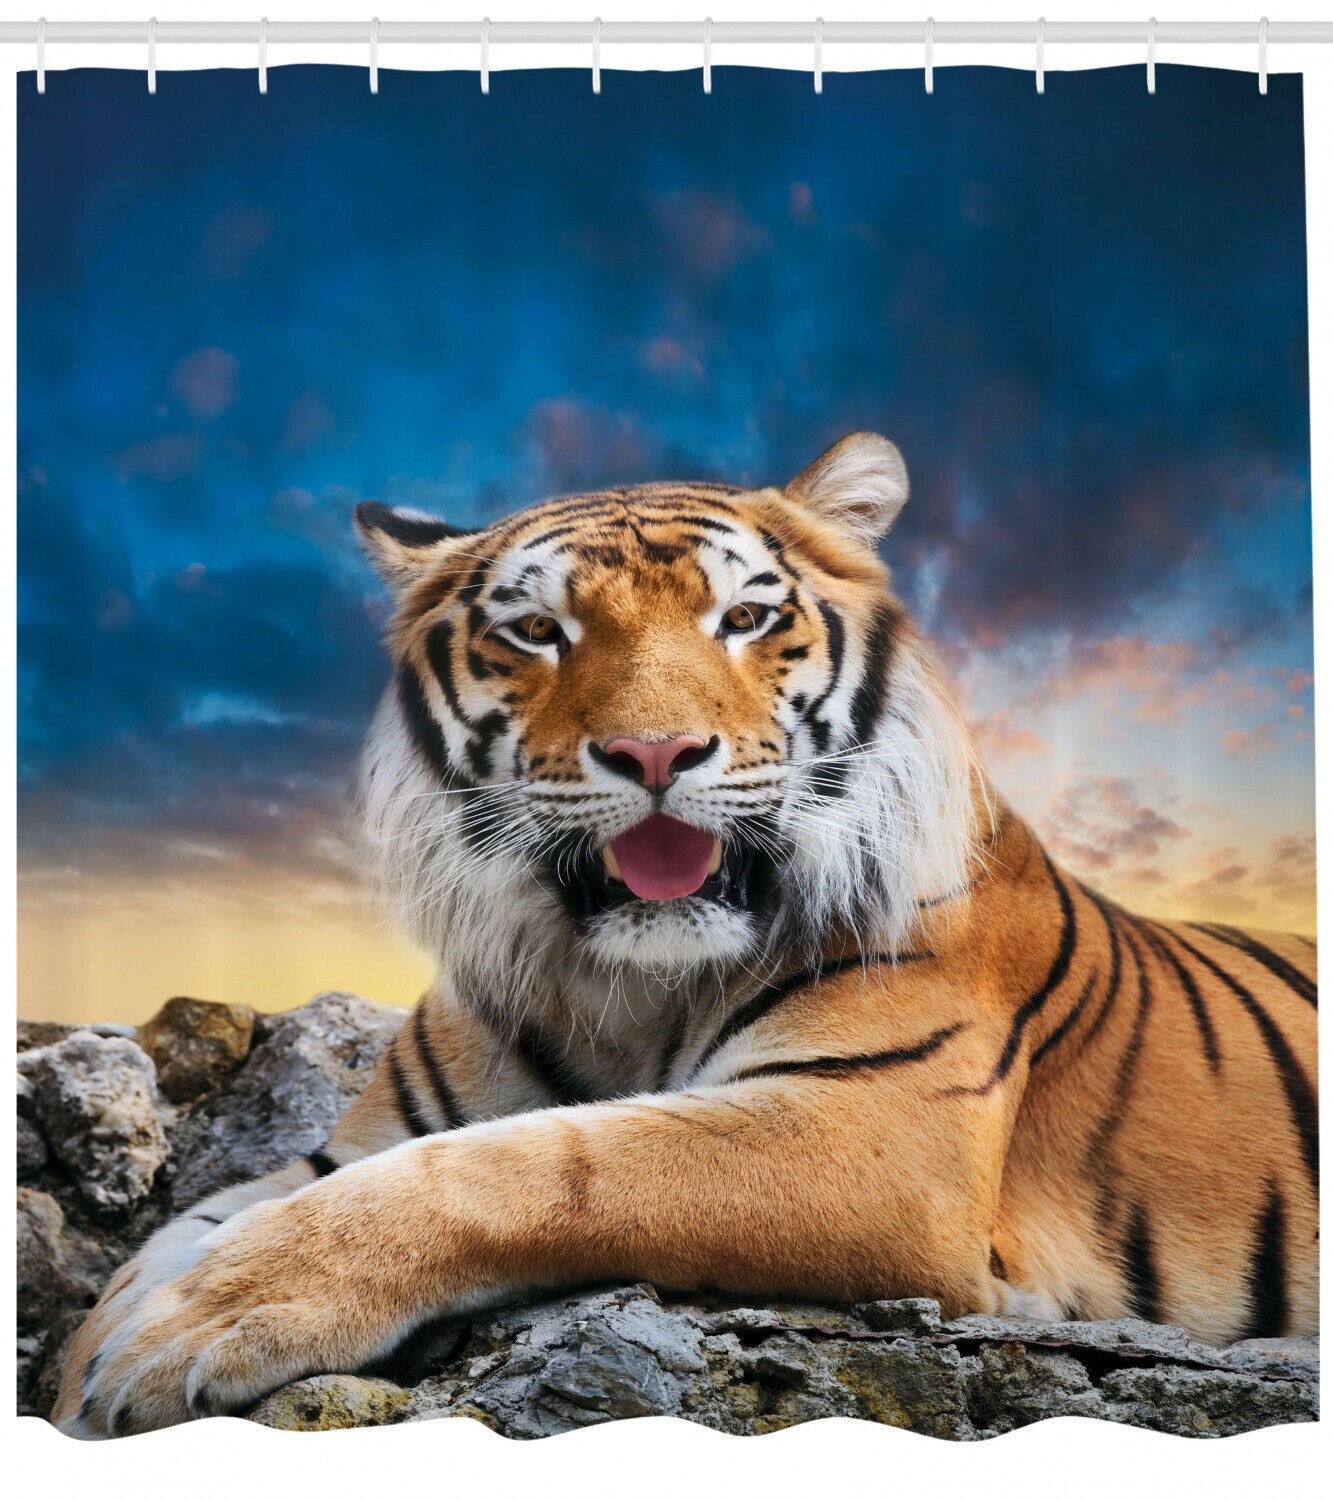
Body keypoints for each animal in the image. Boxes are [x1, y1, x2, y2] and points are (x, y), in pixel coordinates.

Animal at [55, 432, 1317, 1437]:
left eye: (746, 618)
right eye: (537, 631)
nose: (654, 753)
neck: (622, 984)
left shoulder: (868, 1129)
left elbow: (541, 1165)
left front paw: (205, 1318)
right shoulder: (339, 1150)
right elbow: (185, 1232)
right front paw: (99, 1354)